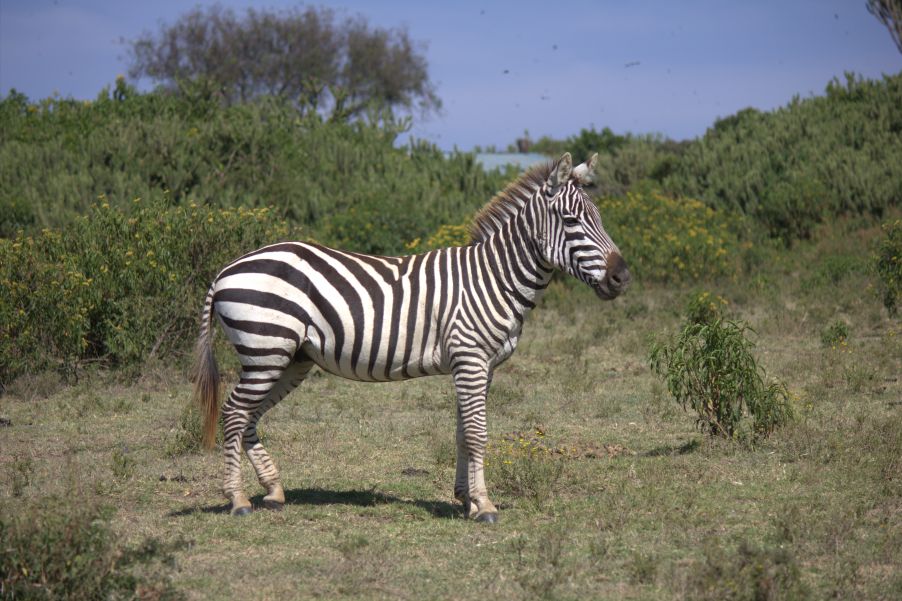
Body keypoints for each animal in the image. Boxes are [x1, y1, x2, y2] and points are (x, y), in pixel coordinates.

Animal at [192, 152, 630, 522]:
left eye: (600, 218)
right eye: (572, 221)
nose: (622, 277)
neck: (493, 278)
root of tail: (226, 269)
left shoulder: (481, 365)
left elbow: (462, 430)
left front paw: (465, 498)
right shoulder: (470, 359)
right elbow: (477, 432)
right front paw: (484, 505)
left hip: (288, 358)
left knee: (249, 415)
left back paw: (274, 490)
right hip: (265, 348)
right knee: (234, 412)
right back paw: (238, 500)